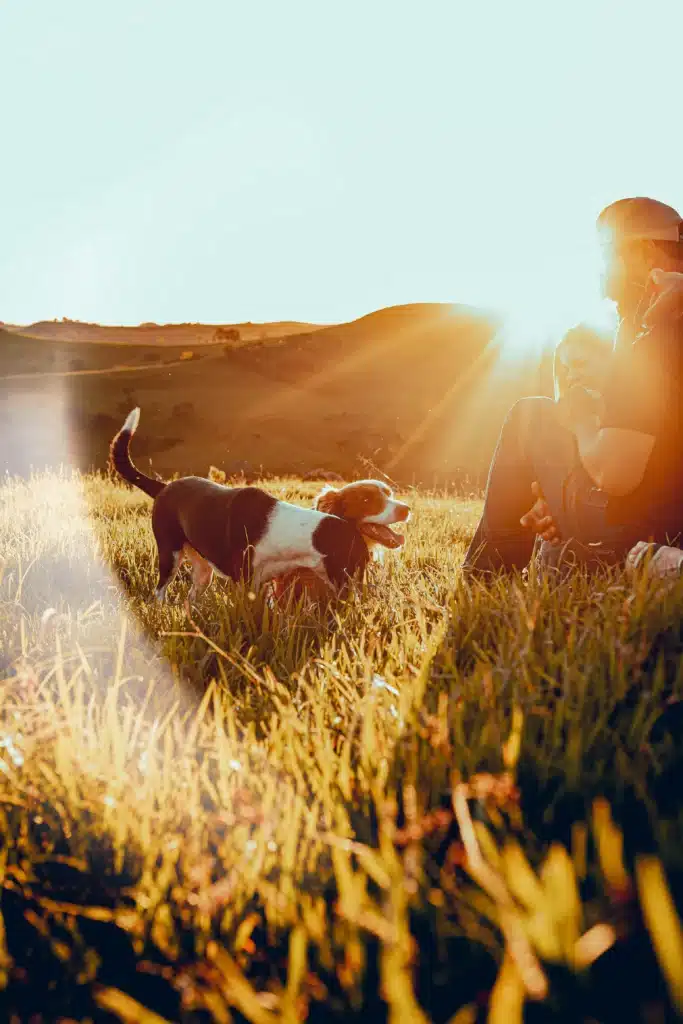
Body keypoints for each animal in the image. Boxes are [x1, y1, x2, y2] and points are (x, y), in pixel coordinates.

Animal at [111, 405, 411, 598]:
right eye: (367, 499)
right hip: (169, 555)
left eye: (390, 494)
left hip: (202, 569)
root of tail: (165, 487)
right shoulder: (247, 585)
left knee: (192, 596)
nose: (406, 509)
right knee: (160, 591)